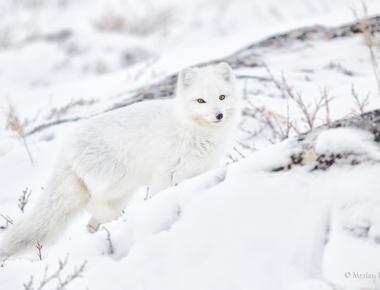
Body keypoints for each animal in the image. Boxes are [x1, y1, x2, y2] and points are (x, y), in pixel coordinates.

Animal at [0, 61, 239, 256]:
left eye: (222, 97)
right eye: (200, 100)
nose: (219, 115)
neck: (194, 130)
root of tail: (67, 145)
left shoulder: (202, 169)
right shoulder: (167, 173)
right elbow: (163, 194)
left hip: (120, 192)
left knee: (91, 222)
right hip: (118, 182)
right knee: (93, 205)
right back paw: (116, 220)